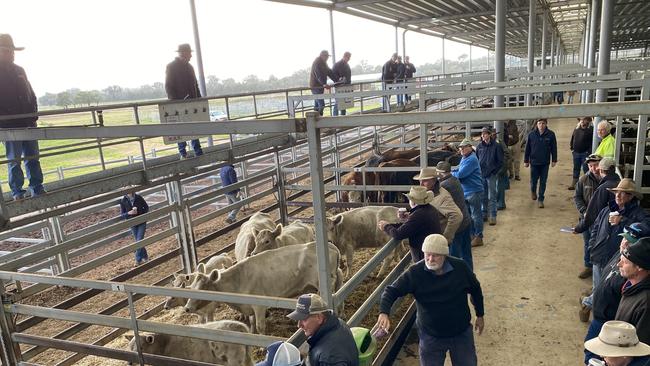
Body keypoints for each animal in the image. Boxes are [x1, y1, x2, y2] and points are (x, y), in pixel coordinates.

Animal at [185, 243, 342, 334]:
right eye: (191, 287)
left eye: (203, 288)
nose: (187, 308)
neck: (239, 279)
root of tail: (332, 247)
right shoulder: (250, 306)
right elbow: (252, 322)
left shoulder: (259, 306)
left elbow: (260, 326)